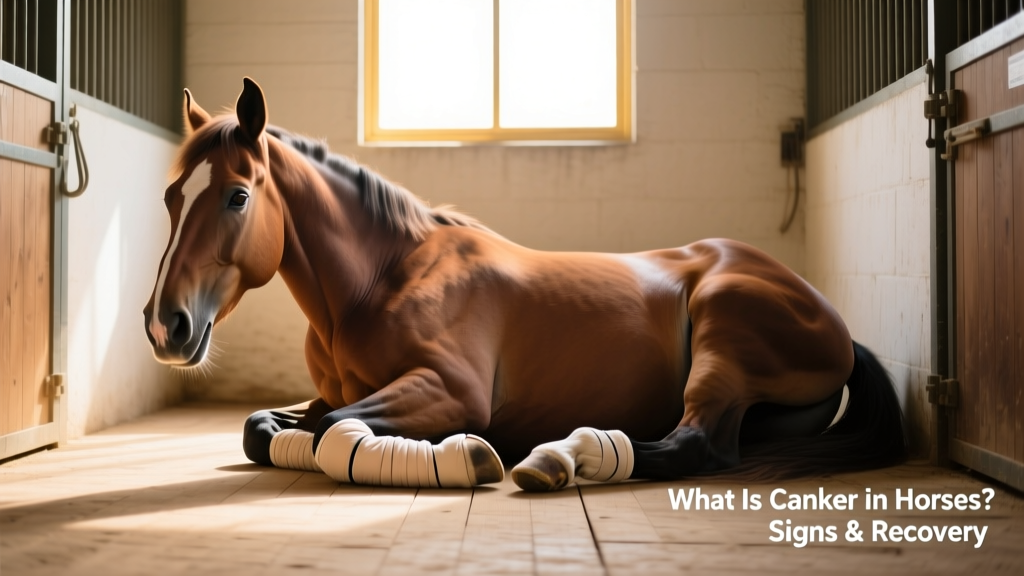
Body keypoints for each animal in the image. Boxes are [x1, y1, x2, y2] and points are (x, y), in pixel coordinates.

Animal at [143, 78, 907, 491]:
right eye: (173, 195)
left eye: (238, 196)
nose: (164, 326)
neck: (383, 282)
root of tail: (833, 323)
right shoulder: (332, 393)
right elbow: (265, 428)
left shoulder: (448, 389)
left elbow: (333, 431)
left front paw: (463, 455)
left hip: (723, 334)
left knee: (695, 446)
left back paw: (560, 457)